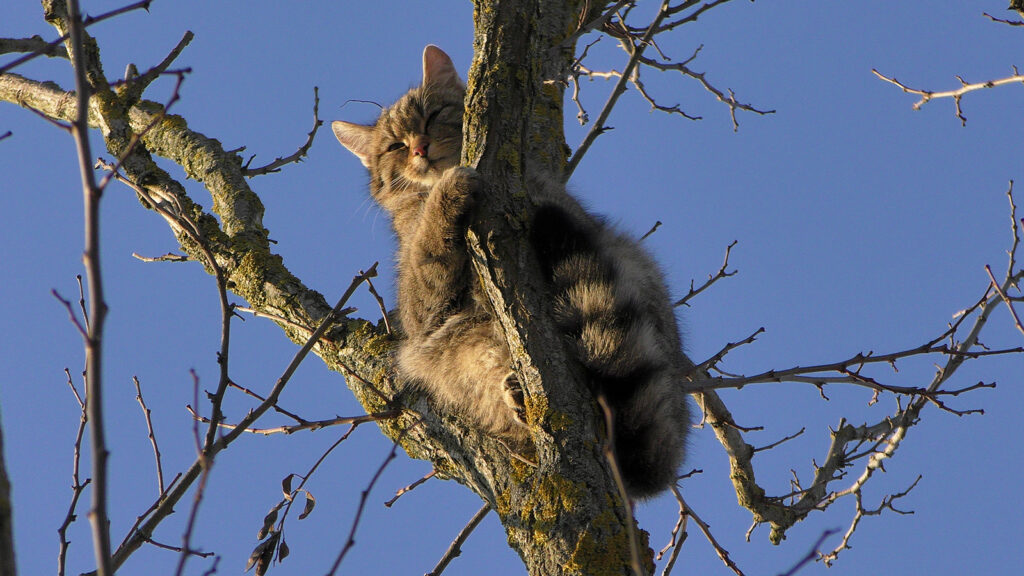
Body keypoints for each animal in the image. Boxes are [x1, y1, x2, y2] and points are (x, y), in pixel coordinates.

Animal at [331, 44, 692, 498]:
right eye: (395, 145)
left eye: (433, 116)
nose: (419, 149)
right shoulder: (423, 309)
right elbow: (428, 247)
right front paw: (446, 193)